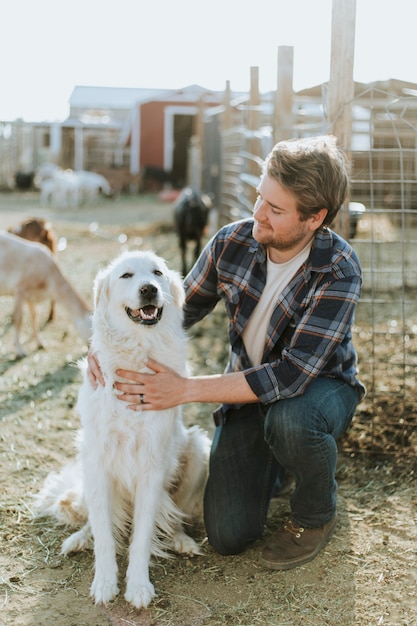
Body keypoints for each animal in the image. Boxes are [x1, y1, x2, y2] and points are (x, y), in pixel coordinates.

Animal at [34, 250, 211, 608]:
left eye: (157, 273)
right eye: (126, 276)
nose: (149, 289)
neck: (137, 352)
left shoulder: (152, 467)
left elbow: (141, 537)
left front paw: (138, 586)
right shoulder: (98, 462)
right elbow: (105, 534)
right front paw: (104, 583)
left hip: (198, 449)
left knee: (172, 516)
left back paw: (182, 541)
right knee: (97, 521)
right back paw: (79, 538)